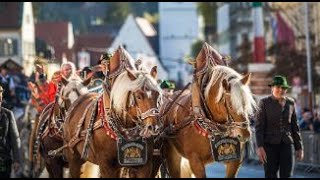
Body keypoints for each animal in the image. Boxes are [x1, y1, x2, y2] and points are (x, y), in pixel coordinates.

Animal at [160, 44, 258, 177]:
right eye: (230, 105)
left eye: (247, 102)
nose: (245, 134)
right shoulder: (195, 161)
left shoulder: (235, 160)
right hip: (172, 155)